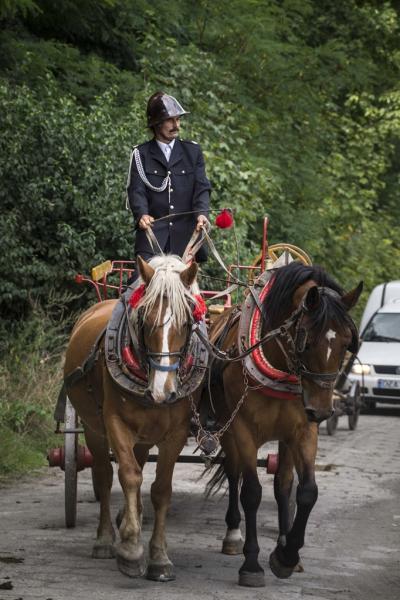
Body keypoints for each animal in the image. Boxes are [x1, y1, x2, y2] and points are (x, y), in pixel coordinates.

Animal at [64, 253, 205, 580]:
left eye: (186, 322)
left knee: (138, 466)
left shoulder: (176, 433)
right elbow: (127, 476)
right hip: (93, 427)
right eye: (145, 319)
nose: (162, 391)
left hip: (143, 435)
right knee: (104, 476)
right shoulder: (115, 423)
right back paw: (105, 540)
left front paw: (159, 557)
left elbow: (161, 489)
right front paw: (129, 546)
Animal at [206, 262, 362, 584]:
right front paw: (251, 563)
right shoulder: (243, 430)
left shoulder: (303, 431)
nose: (322, 410)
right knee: (233, 472)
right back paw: (232, 534)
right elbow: (251, 492)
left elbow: (305, 491)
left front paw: (287, 555)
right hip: (227, 428)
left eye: (346, 343)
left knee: (282, 483)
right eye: (306, 340)